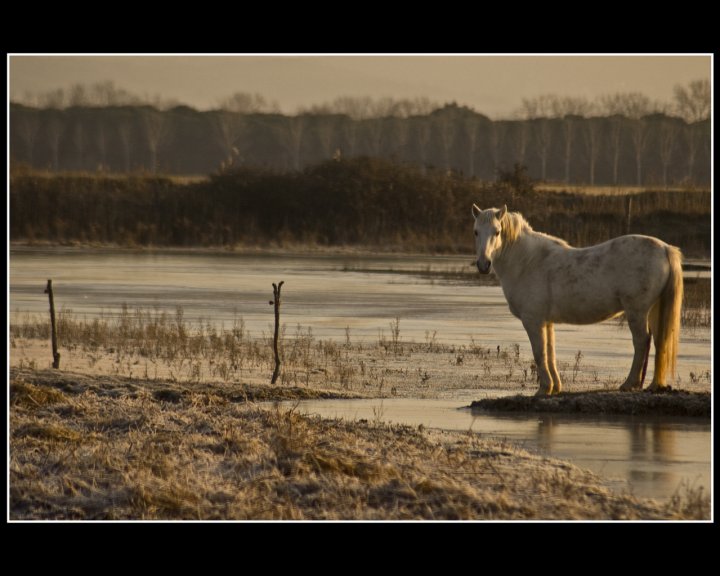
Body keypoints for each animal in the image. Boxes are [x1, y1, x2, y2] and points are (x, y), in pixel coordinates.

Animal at [470, 206, 684, 396]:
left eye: (497, 232)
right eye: (476, 232)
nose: (483, 264)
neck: (528, 262)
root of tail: (665, 248)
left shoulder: (533, 321)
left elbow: (540, 353)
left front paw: (544, 388)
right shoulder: (546, 322)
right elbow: (550, 352)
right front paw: (555, 387)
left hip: (637, 311)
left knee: (641, 341)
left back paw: (630, 383)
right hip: (654, 309)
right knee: (659, 341)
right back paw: (651, 385)